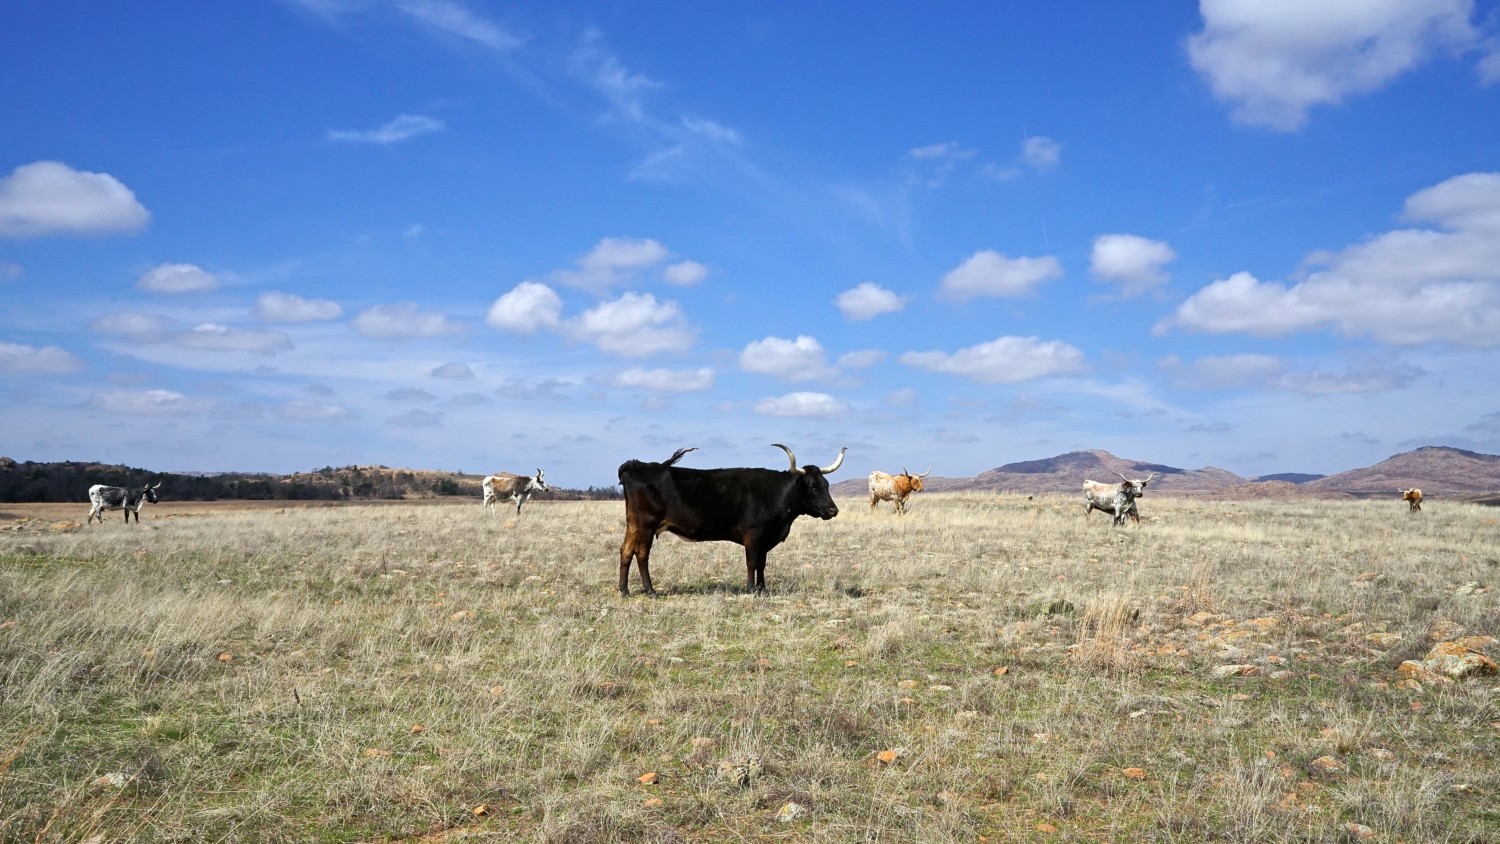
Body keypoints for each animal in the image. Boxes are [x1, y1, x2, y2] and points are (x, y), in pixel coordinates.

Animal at [612, 443, 846, 593]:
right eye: (812, 487)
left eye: (826, 485)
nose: (833, 510)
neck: (775, 493)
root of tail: (637, 464)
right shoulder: (753, 534)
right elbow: (751, 562)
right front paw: (751, 589)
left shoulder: (765, 539)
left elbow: (762, 564)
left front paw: (762, 588)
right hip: (647, 524)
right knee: (642, 554)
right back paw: (650, 590)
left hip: (633, 524)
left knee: (626, 551)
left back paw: (624, 590)